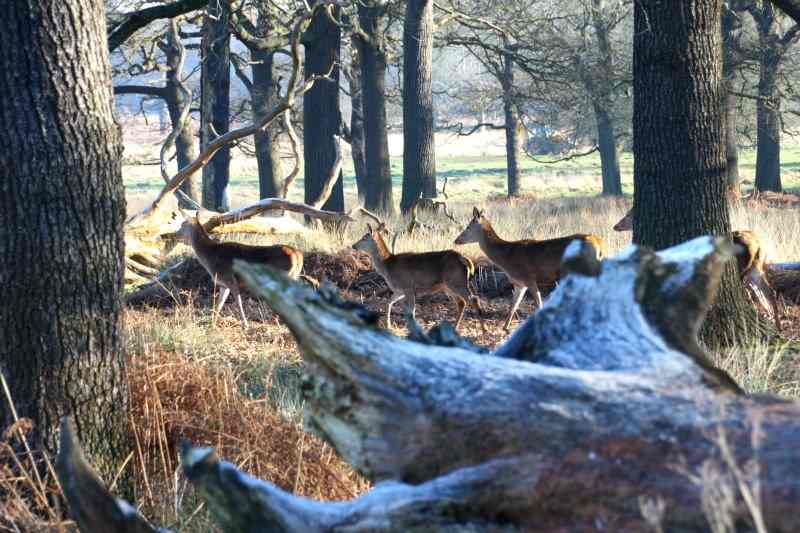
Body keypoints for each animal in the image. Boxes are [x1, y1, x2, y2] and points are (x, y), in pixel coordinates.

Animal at [177, 214, 308, 326]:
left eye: (182, 225)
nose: (175, 234)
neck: (210, 258)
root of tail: (298, 255)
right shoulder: (223, 283)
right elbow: (219, 304)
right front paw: (211, 322)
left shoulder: (230, 279)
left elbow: (239, 303)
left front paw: (245, 324)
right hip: (294, 277)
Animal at [352, 222, 488, 330]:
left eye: (364, 237)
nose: (353, 245)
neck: (387, 267)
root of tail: (464, 258)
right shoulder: (399, 290)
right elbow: (389, 303)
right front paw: (389, 325)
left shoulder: (408, 286)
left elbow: (411, 312)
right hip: (449, 285)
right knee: (462, 302)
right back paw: (456, 327)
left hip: (456, 281)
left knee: (473, 299)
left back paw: (483, 329)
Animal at [454, 206, 604, 330]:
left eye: (468, 226)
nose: (456, 240)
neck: (506, 258)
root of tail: (601, 245)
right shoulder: (519, 283)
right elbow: (513, 305)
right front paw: (505, 327)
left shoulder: (529, 278)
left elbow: (539, 304)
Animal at [612, 208, 780, 328]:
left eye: (629, 214)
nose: (615, 226)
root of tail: (757, 243)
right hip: (756, 267)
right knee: (769, 292)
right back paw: (776, 324)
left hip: (742, 267)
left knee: (751, 294)